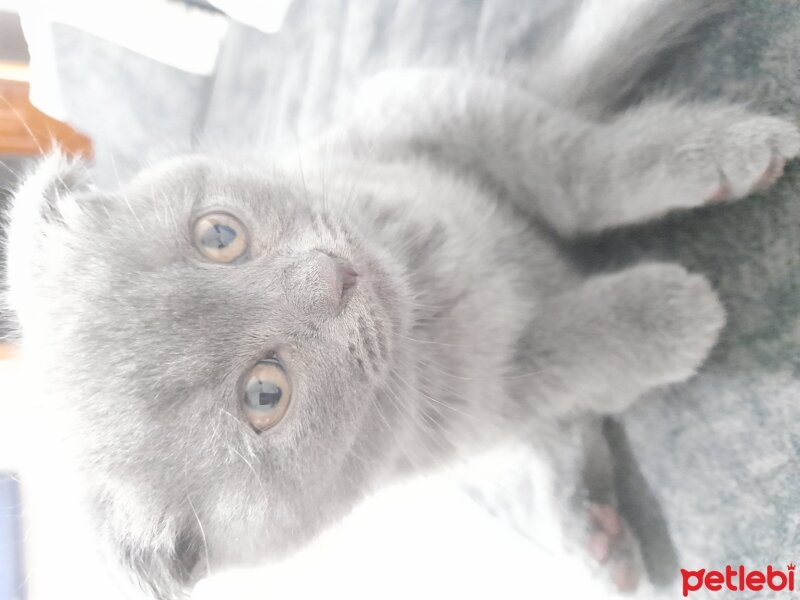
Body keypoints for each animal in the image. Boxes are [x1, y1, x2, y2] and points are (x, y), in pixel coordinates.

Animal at [3, 0, 796, 596]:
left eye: (220, 235)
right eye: (265, 394)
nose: (333, 276)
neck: (422, 276)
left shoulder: (423, 106)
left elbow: (572, 169)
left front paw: (715, 157)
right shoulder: (479, 414)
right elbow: (557, 355)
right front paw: (665, 313)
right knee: (564, 443)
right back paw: (593, 539)